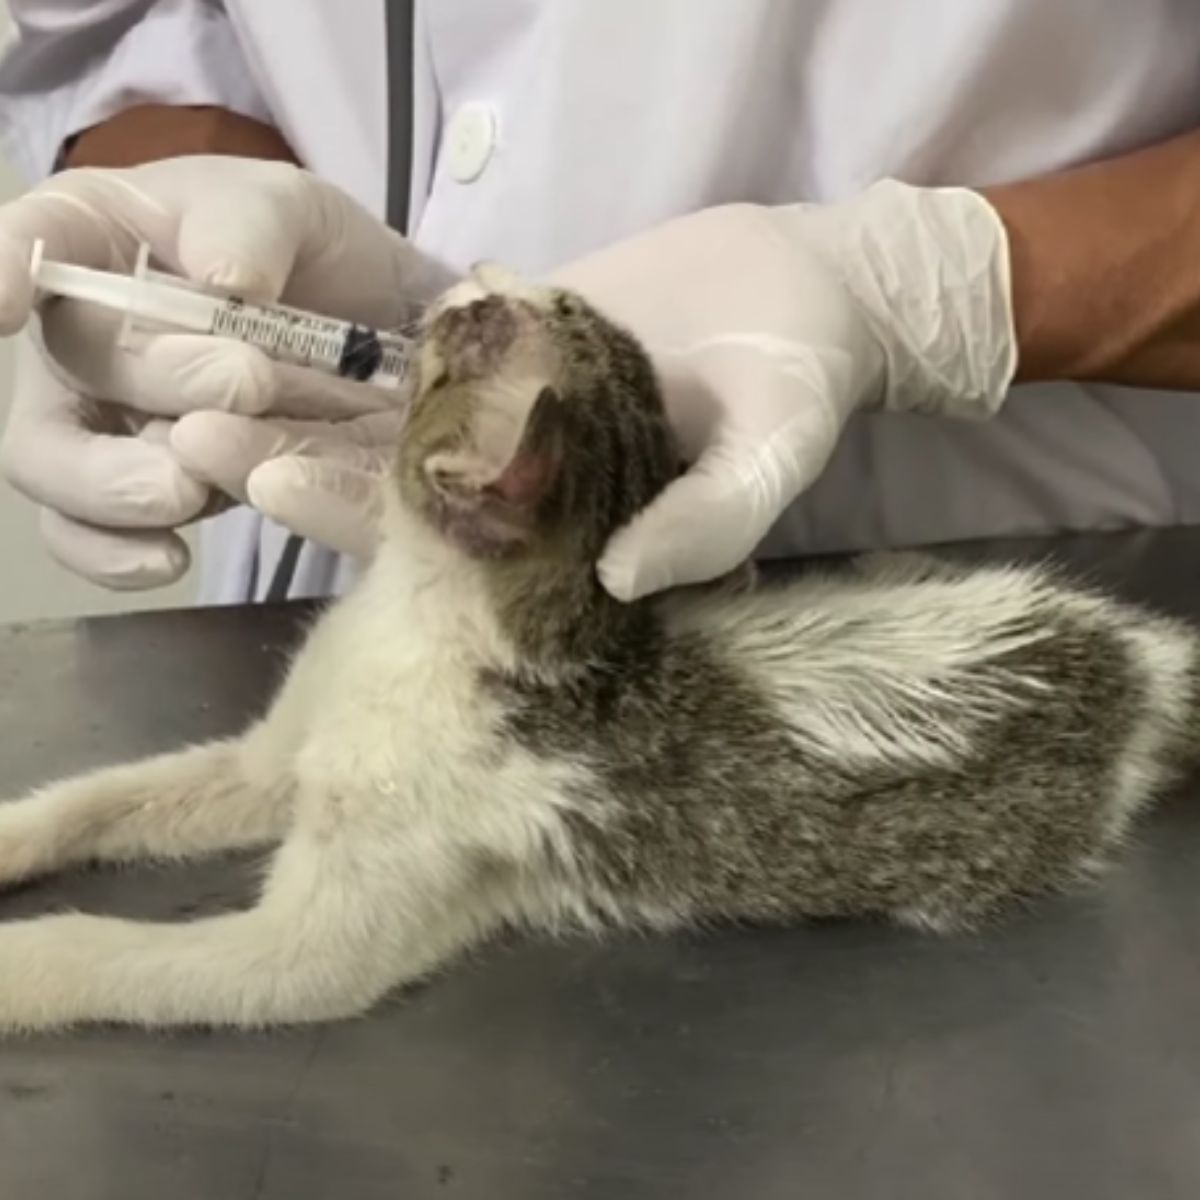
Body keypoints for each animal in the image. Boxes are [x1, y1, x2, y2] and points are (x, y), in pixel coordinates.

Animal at [2, 265, 1200, 1032]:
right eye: (553, 309)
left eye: (477, 339)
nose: (480, 282)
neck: (418, 615)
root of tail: (1140, 656)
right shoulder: (268, 766)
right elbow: (101, 797)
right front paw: (21, 834)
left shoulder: (320, 947)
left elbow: (121, 951)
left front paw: (24, 966)